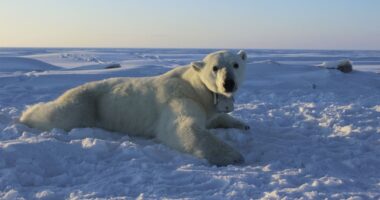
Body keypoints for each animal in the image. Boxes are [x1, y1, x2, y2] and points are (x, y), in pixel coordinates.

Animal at [20, 50, 249, 166]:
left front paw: (243, 125)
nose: (228, 83)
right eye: (215, 67)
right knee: (59, 114)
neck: (195, 86)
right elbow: (183, 127)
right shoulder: (179, 98)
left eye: (235, 64)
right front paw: (233, 155)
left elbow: (215, 118)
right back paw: (25, 115)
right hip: (87, 103)